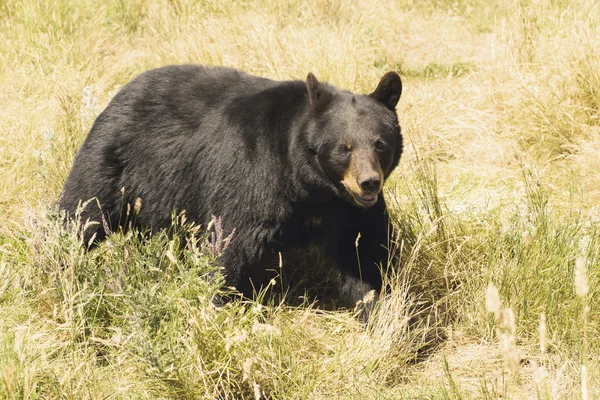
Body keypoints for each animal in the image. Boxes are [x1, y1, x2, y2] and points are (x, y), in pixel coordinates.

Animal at [59, 65, 404, 316]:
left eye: (380, 144)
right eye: (344, 147)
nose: (369, 182)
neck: (311, 188)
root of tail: (122, 91)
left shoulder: (349, 211)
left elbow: (363, 255)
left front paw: (382, 314)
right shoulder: (253, 176)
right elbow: (230, 246)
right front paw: (217, 306)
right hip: (114, 160)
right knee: (82, 209)